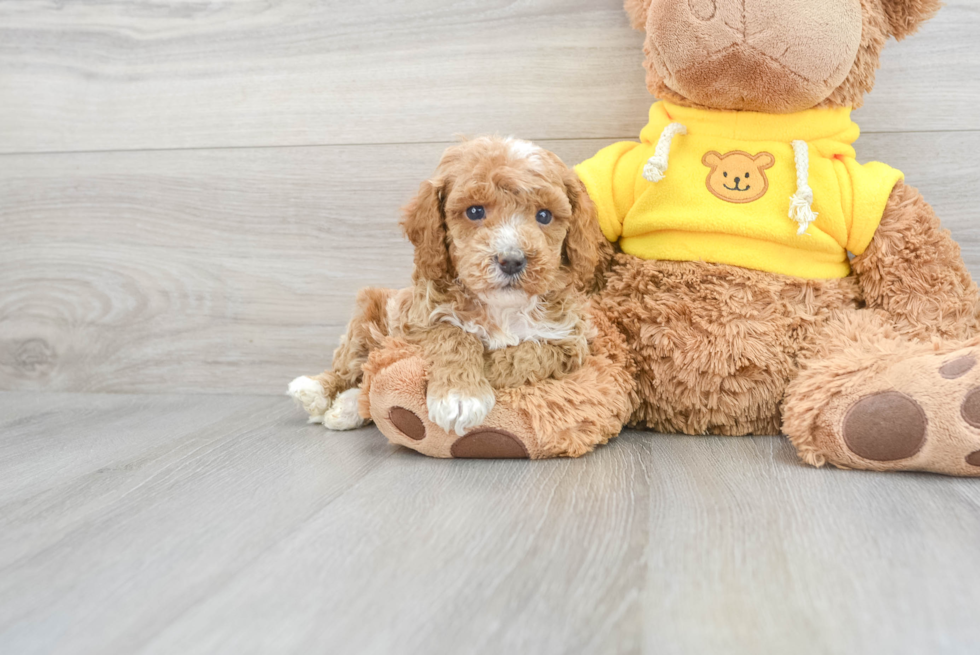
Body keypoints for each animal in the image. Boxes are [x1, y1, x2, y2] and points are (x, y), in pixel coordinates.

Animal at [288, 135, 600, 436]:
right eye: (474, 211)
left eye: (544, 215)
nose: (511, 260)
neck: (501, 309)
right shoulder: (416, 322)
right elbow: (454, 334)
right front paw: (459, 395)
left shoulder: (569, 343)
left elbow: (525, 354)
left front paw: (480, 376)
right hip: (368, 314)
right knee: (352, 365)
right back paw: (317, 391)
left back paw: (349, 405)